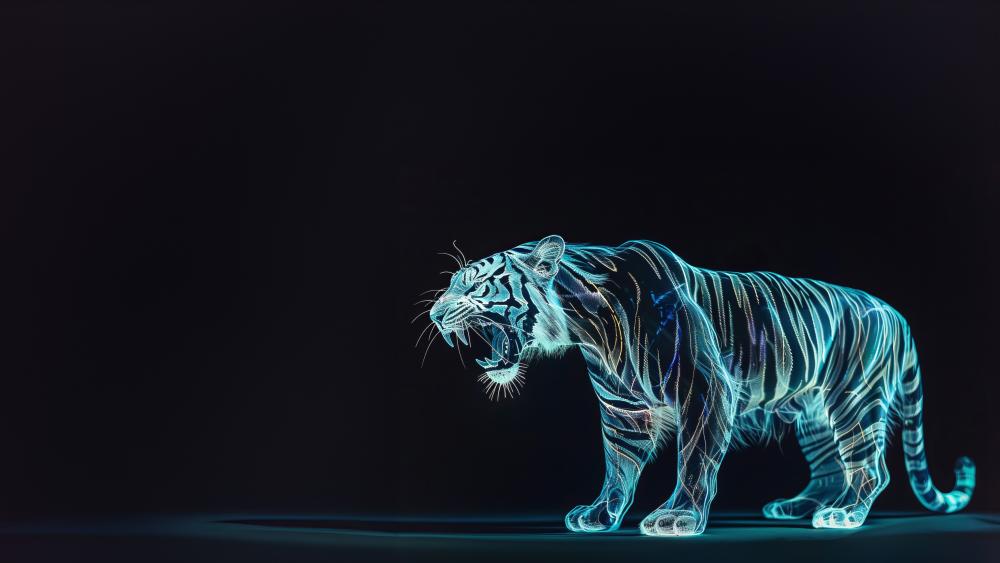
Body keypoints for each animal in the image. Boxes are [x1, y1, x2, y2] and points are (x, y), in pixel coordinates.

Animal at [425, 235, 975, 536]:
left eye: (473, 285)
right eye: (450, 283)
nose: (433, 313)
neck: (586, 324)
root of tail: (895, 313)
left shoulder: (705, 388)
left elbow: (693, 459)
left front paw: (678, 518)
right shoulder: (623, 409)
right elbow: (617, 466)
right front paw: (601, 514)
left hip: (853, 403)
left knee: (871, 468)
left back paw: (843, 515)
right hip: (814, 414)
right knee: (827, 470)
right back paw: (800, 507)